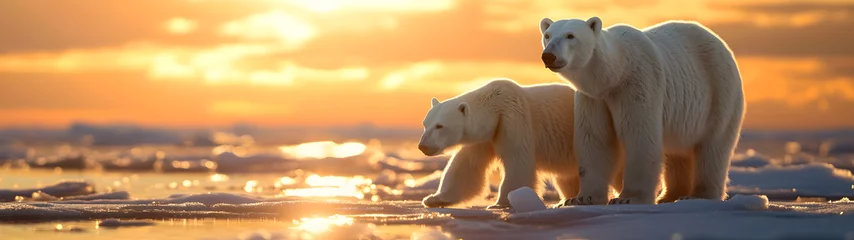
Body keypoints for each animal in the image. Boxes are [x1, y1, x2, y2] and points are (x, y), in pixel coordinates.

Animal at [420, 78, 624, 208]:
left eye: (440, 126)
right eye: (425, 124)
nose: (423, 146)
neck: (495, 106)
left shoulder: (513, 118)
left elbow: (518, 161)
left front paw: (501, 203)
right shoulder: (486, 137)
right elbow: (465, 168)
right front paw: (434, 199)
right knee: (567, 176)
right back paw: (566, 200)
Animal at [540, 16, 748, 204]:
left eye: (570, 35)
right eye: (548, 35)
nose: (548, 56)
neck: (616, 73)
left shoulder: (638, 84)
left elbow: (639, 136)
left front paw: (628, 198)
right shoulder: (594, 98)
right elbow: (595, 138)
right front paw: (582, 198)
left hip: (719, 95)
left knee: (713, 147)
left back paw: (697, 195)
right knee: (677, 152)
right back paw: (669, 196)